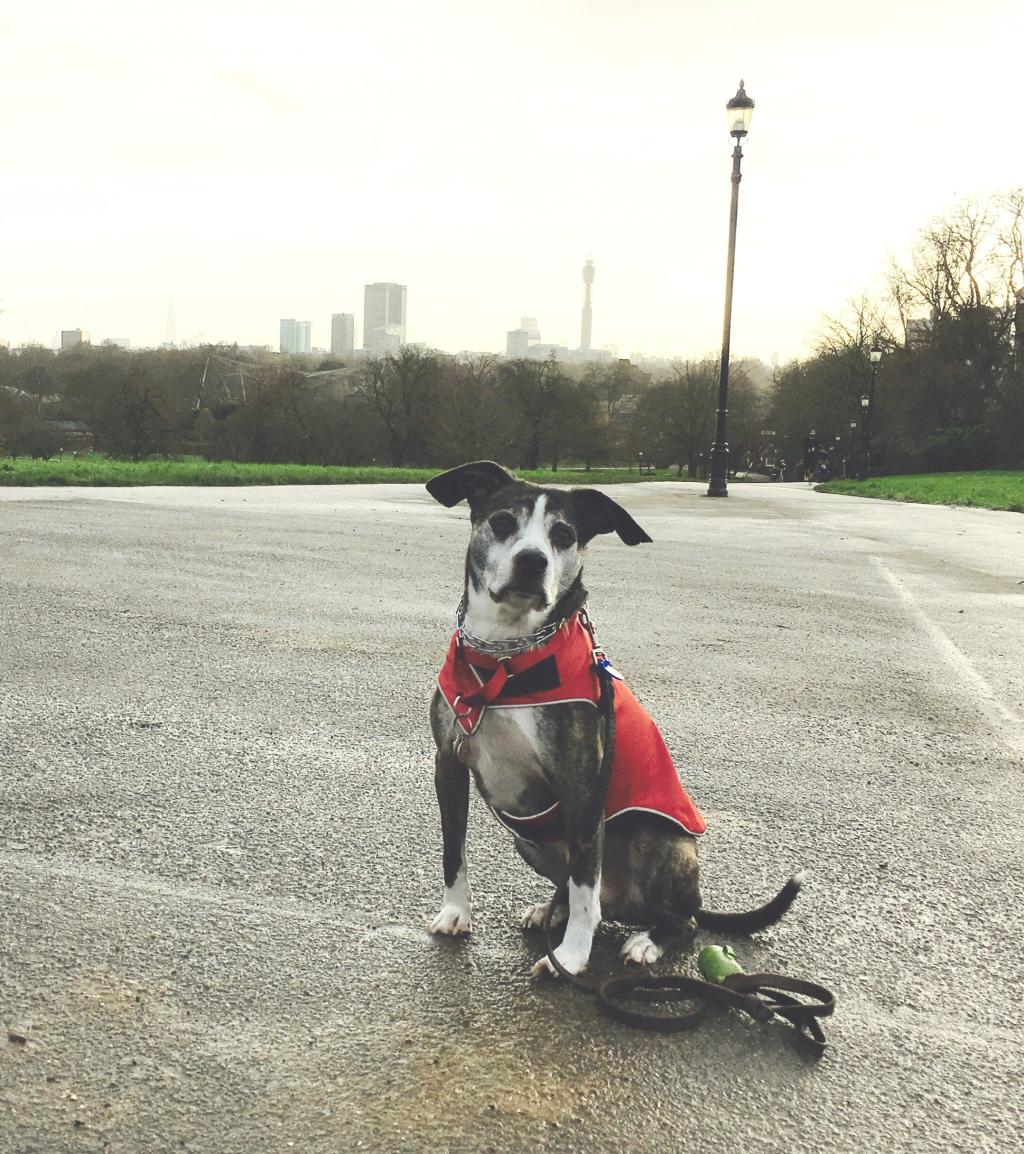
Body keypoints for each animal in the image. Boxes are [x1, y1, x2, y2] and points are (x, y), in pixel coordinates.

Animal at [425, 461, 801, 977]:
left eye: (563, 534)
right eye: (502, 522)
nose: (533, 561)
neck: (506, 658)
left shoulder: (584, 787)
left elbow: (587, 888)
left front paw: (570, 957)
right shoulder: (449, 765)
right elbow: (453, 850)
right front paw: (456, 913)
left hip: (655, 841)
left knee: (677, 917)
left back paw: (648, 941)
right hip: (530, 841)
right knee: (573, 887)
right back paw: (550, 911)